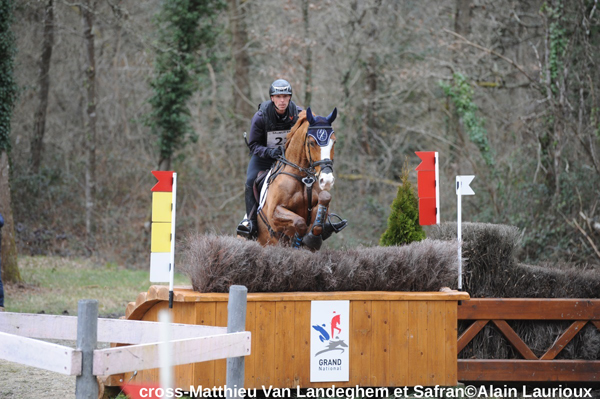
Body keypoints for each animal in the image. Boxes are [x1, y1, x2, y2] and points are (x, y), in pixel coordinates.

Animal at [256, 106, 342, 250]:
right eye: (312, 143)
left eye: (334, 141)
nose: (327, 180)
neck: (303, 177)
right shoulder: (274, 213)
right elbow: (300, 222)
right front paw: (298, 242)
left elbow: (323, 202)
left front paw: (312, 238)